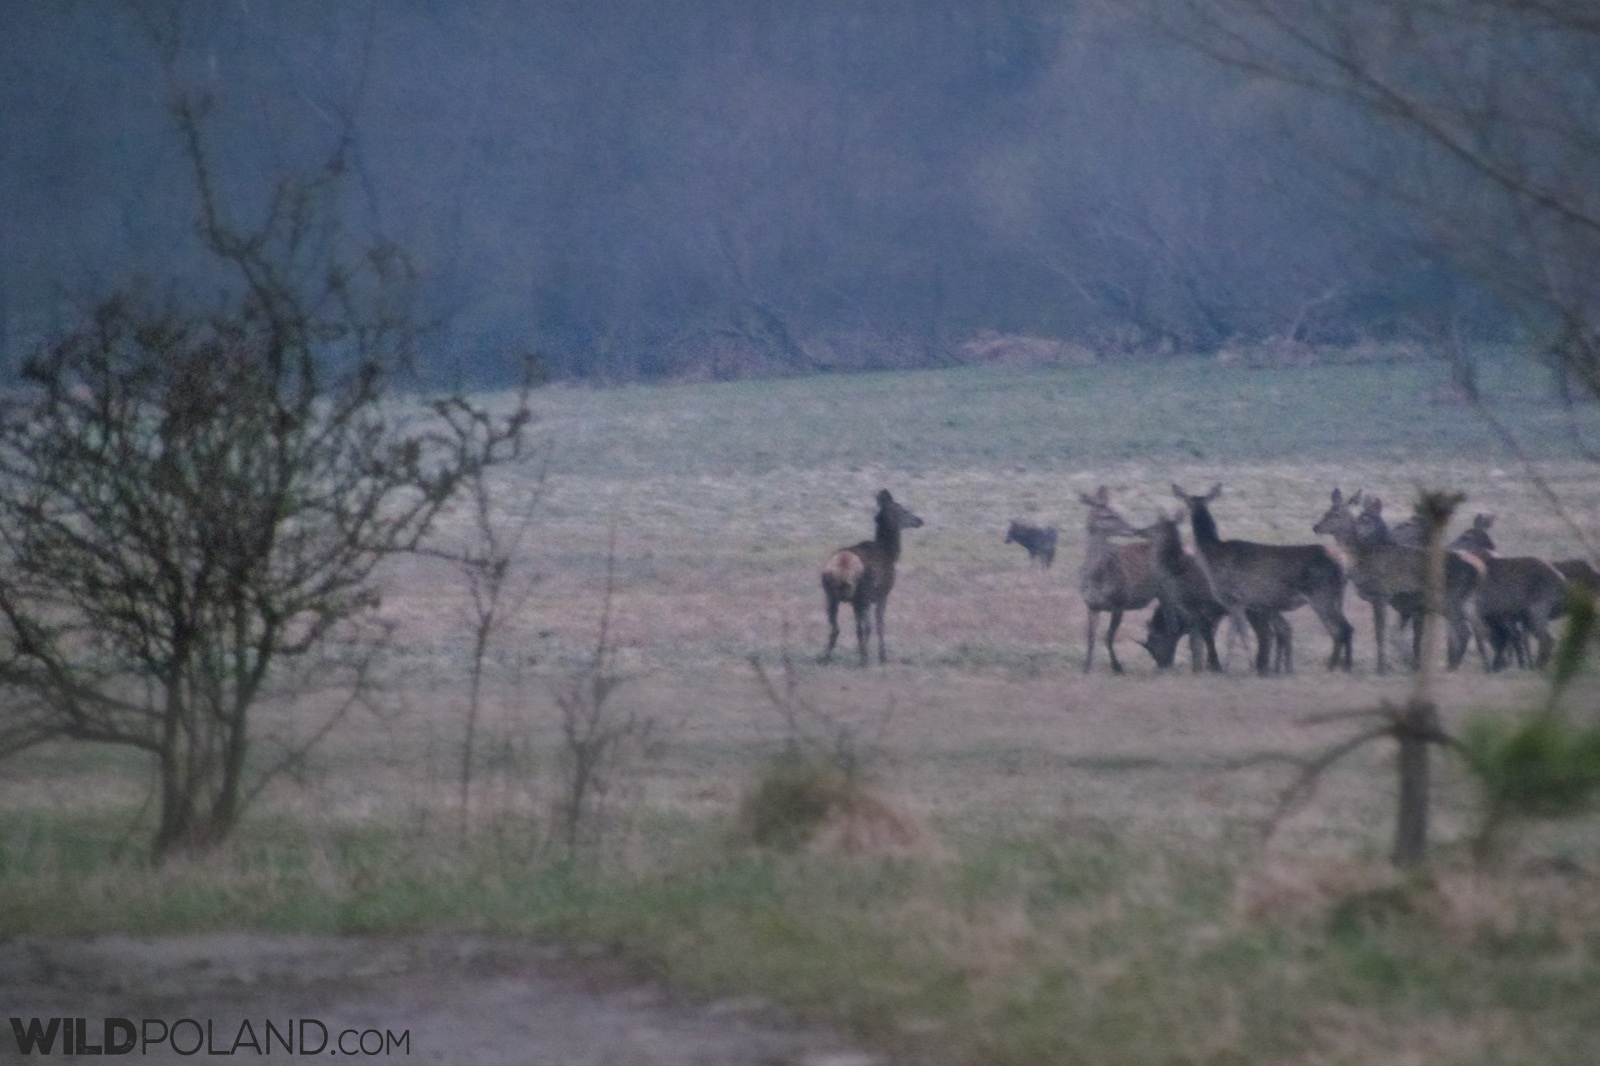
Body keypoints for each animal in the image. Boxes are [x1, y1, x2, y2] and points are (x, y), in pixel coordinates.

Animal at [825, 486, 928, 665]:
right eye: (903, 510)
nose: (919, 521)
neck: (890, 554)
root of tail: (842, 565)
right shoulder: (882, 594)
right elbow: (879, 624)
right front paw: (882, 656)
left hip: (831, 595)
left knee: (836, 627)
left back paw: (826, 657)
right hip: (862, 594)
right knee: (865, 627)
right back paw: (864, 659)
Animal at [1081, 483, 1158, 669]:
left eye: (1119, 512)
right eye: (1108, 515)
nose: (1135, 529)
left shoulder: (1120, 601)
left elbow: (1108, 637)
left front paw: (1117, 667)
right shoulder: (1091, 604)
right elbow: (1091, 638)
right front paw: (1086, 667)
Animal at [1171, 483, 1356, 672]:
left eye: (1187, 503)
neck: (1212, 555)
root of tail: (1342, 565)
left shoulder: (1232, 598)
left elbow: (1237, 636)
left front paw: (1236, 667)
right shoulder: (1244, 603)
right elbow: (1237, 633)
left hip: (1322, 594)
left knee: (1340, 629)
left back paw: (1333, 666)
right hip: (1336, 597)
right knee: (1346, 628)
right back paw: (1345, 665)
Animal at [1318, 486, 1478, 669]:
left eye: (1336, 514)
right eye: (1326, 512)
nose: (1316, 527)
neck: (1363, 560)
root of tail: (1472, 571)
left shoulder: (1382, 594)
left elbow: (1380, 633)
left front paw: (1381, 668)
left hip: (1445, 598)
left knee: (1463, 631)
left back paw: (1451, 668)